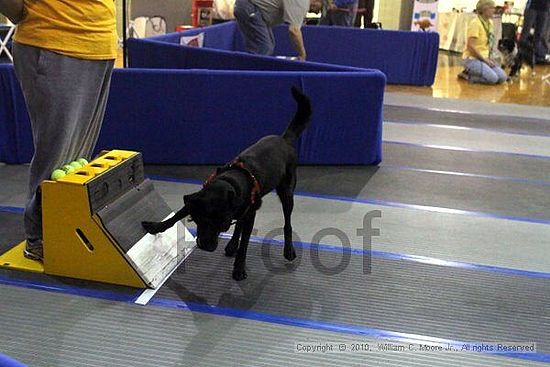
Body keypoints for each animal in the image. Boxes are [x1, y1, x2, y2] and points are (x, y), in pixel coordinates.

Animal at [143, 88, 314, 282]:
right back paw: (232, 245)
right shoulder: (197, 200)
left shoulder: (250, 214)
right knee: (240, 223)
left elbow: (244, 244)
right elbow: (176, 216)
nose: (208, 247)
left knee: (287, 223)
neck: (229, 182)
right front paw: (155, 227)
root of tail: (285, 139)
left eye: (223, 226)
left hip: (286, 192)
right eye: (200, 220)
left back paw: (288, 249)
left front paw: (239, 269)